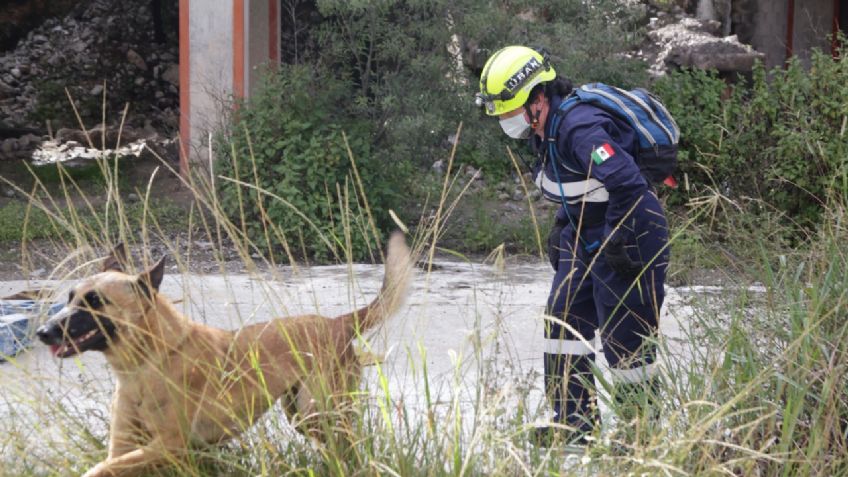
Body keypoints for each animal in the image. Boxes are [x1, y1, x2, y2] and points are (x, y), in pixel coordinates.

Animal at [36, 231, 414, 476]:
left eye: (95, 302)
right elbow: (109, 464)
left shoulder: (169, 446)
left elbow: (98, 469)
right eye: (69, 297)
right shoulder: (126, 446)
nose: (43, 332)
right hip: (303, 416)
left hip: (320, 412)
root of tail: (336, 322)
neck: (146, 365)